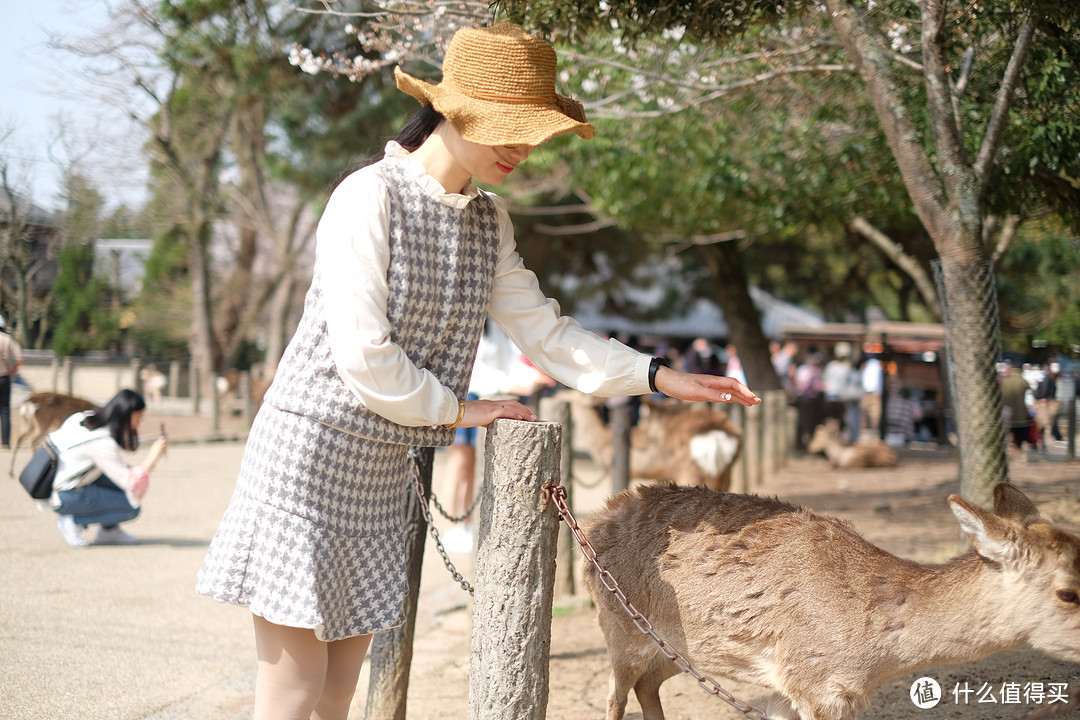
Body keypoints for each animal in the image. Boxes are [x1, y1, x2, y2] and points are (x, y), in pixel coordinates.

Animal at [548, 388, 743, 496]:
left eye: (572, 393)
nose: (556, 393)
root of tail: (716, 436)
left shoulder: (613, 471)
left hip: (688, 470)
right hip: (725, 472)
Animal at [583, 481, 1080, 720]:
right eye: (1068, 592)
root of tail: (597, 515)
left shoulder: (800, 690)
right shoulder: (815, 682)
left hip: (680, 647)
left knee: (648, 684)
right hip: (619, 624)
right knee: (614, 695)